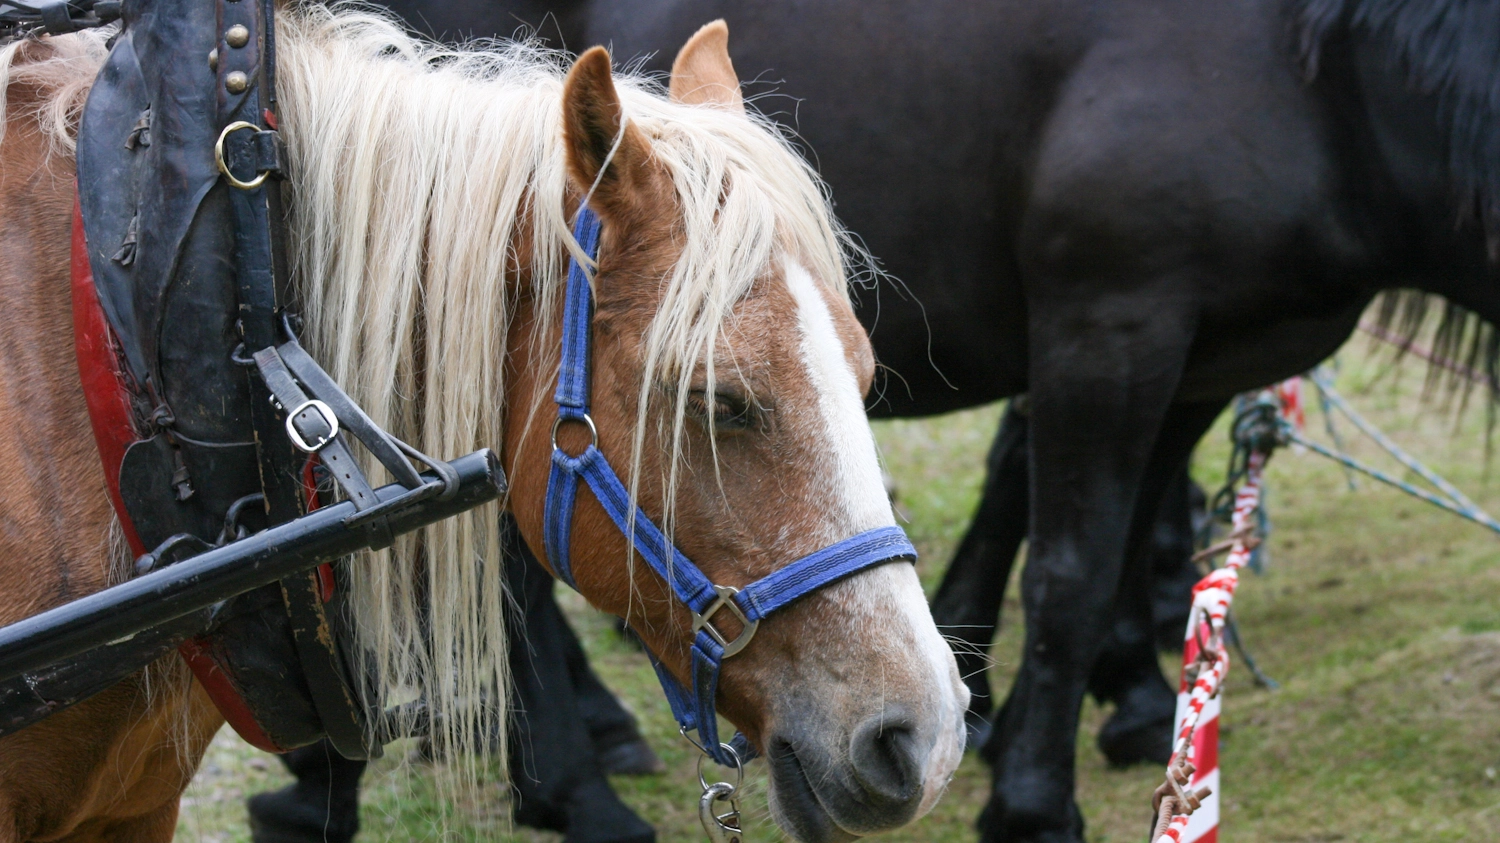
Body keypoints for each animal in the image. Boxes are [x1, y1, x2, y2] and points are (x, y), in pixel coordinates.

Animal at [378, 3, 1500, 834]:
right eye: (717, 401)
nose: (921, 737)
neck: (1320, 78)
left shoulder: (1206, 359)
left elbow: (1126, 531)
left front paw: (1122, 701)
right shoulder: (1109, 324)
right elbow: (1069, 569)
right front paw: (1034, 798)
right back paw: (577, 791)